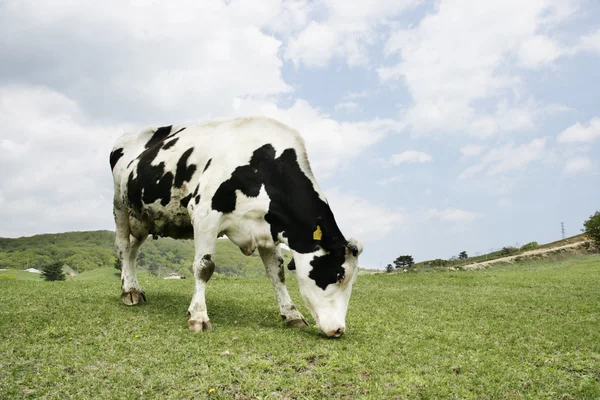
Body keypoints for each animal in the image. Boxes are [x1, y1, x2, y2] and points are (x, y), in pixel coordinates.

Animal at [108, 116, 364, 338]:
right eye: (340, 275)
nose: (339, 330)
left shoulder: (267, 227)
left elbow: (277, 272)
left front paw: (291, 314)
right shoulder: (204, 213)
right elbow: (204, 267)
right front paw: (198, 316)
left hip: (143, 218)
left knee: (132, 252)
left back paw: (134, 289)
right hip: (120, 205)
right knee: (122, 247)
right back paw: (128, 292)